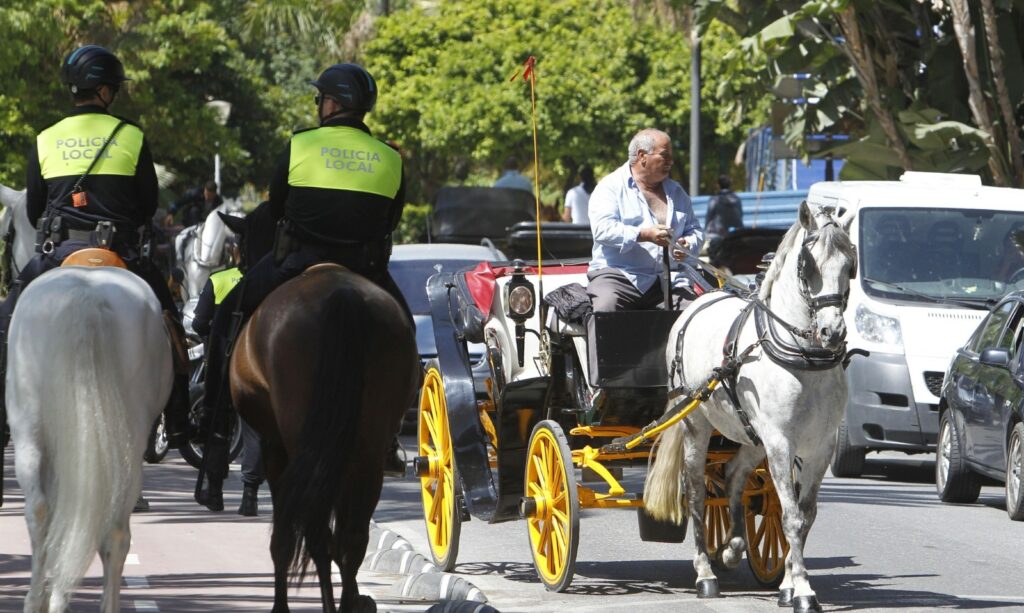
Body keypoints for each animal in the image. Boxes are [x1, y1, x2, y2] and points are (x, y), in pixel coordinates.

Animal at [7, 262, 173, 611]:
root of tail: (87, 297)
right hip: (128, 444)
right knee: (114, 531)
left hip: (27, 434)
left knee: (39, 513)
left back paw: (37, 599)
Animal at [229, 264, 418, 611]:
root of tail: (341, 293)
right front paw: (355, 596)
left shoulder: (276, 451)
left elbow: (285, 536)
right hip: (365, 451)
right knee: (351, 537)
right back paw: (347, 602)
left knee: (316, 533)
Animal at [644, 201, 857, 612]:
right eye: (807, 265)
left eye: (850, 265)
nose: (832, 332)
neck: (805, 357)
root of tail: (697, 302)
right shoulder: (780, 442)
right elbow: (791, 517)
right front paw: (803, 592)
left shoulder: (820, 447)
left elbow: (805, 515)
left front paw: (787, 584)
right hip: (698, 425)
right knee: (695, 489)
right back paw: (705, 573)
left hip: (752, 437)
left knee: (732, 475)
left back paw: (732, 547)